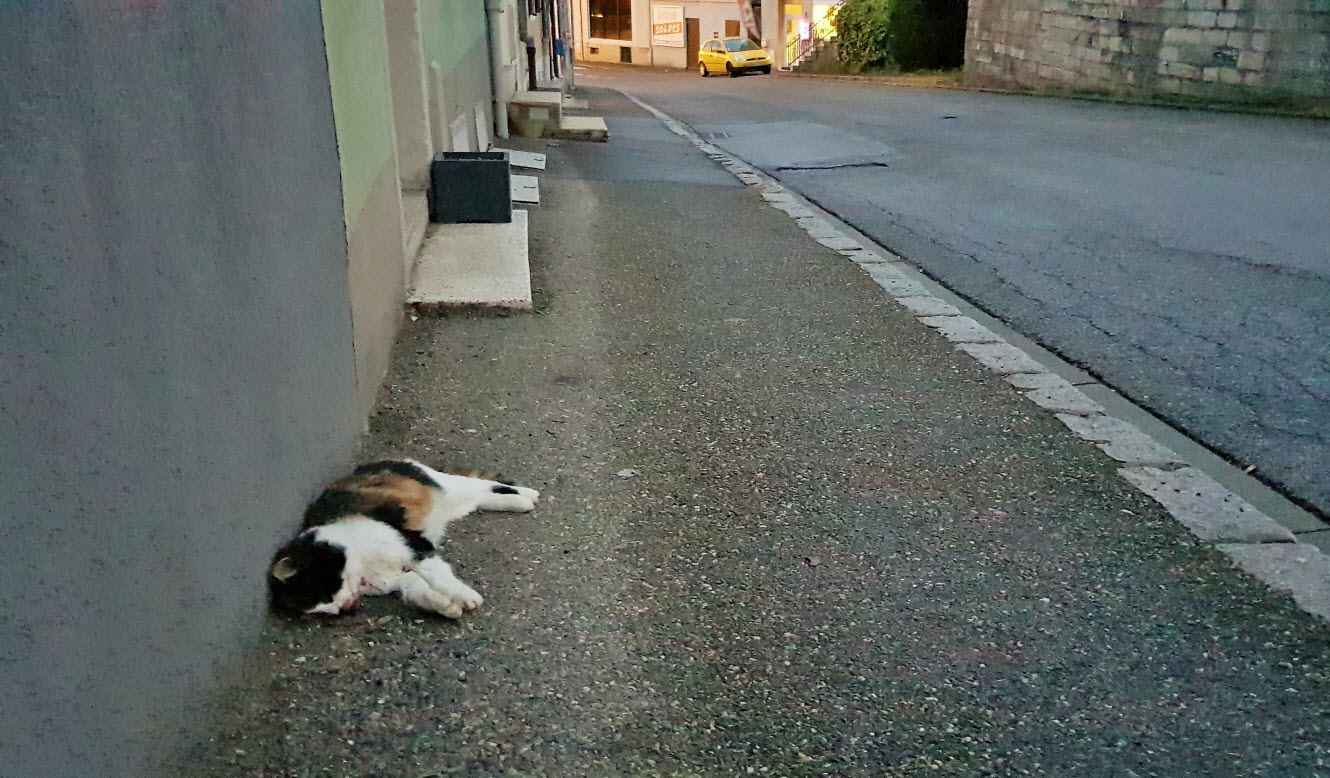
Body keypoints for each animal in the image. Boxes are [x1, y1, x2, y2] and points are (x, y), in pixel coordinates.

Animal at [267, 457, 537, 617]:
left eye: (325, 594)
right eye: (325, 608)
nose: (347, 607)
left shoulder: (415, 547)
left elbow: (439, 576)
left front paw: (465, 596)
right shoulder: (395, 578)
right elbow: (417, 587)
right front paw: (445, 606)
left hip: (449, 487)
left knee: (482, 483)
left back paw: (527, 494)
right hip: (456, 504)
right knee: (482, 497)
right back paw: (520, 501)